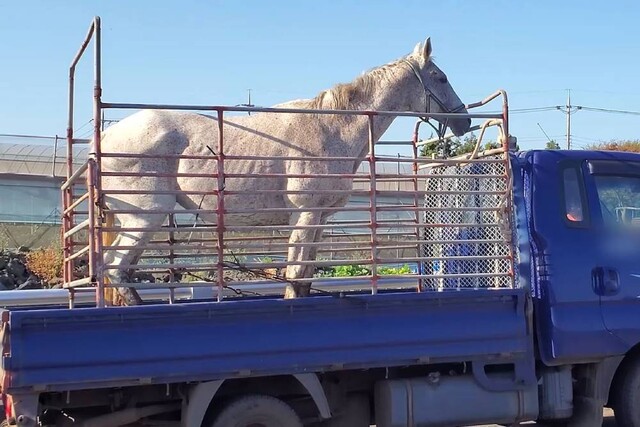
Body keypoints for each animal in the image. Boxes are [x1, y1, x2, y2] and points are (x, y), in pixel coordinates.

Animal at [99, 36, 470, 304]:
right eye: (440, 77)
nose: (464, 121)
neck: (334, 128)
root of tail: (105, 138)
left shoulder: (318, 219)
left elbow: (304, 278)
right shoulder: (304, 215)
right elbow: (294, 278)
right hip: (146, 216)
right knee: (115, 268)